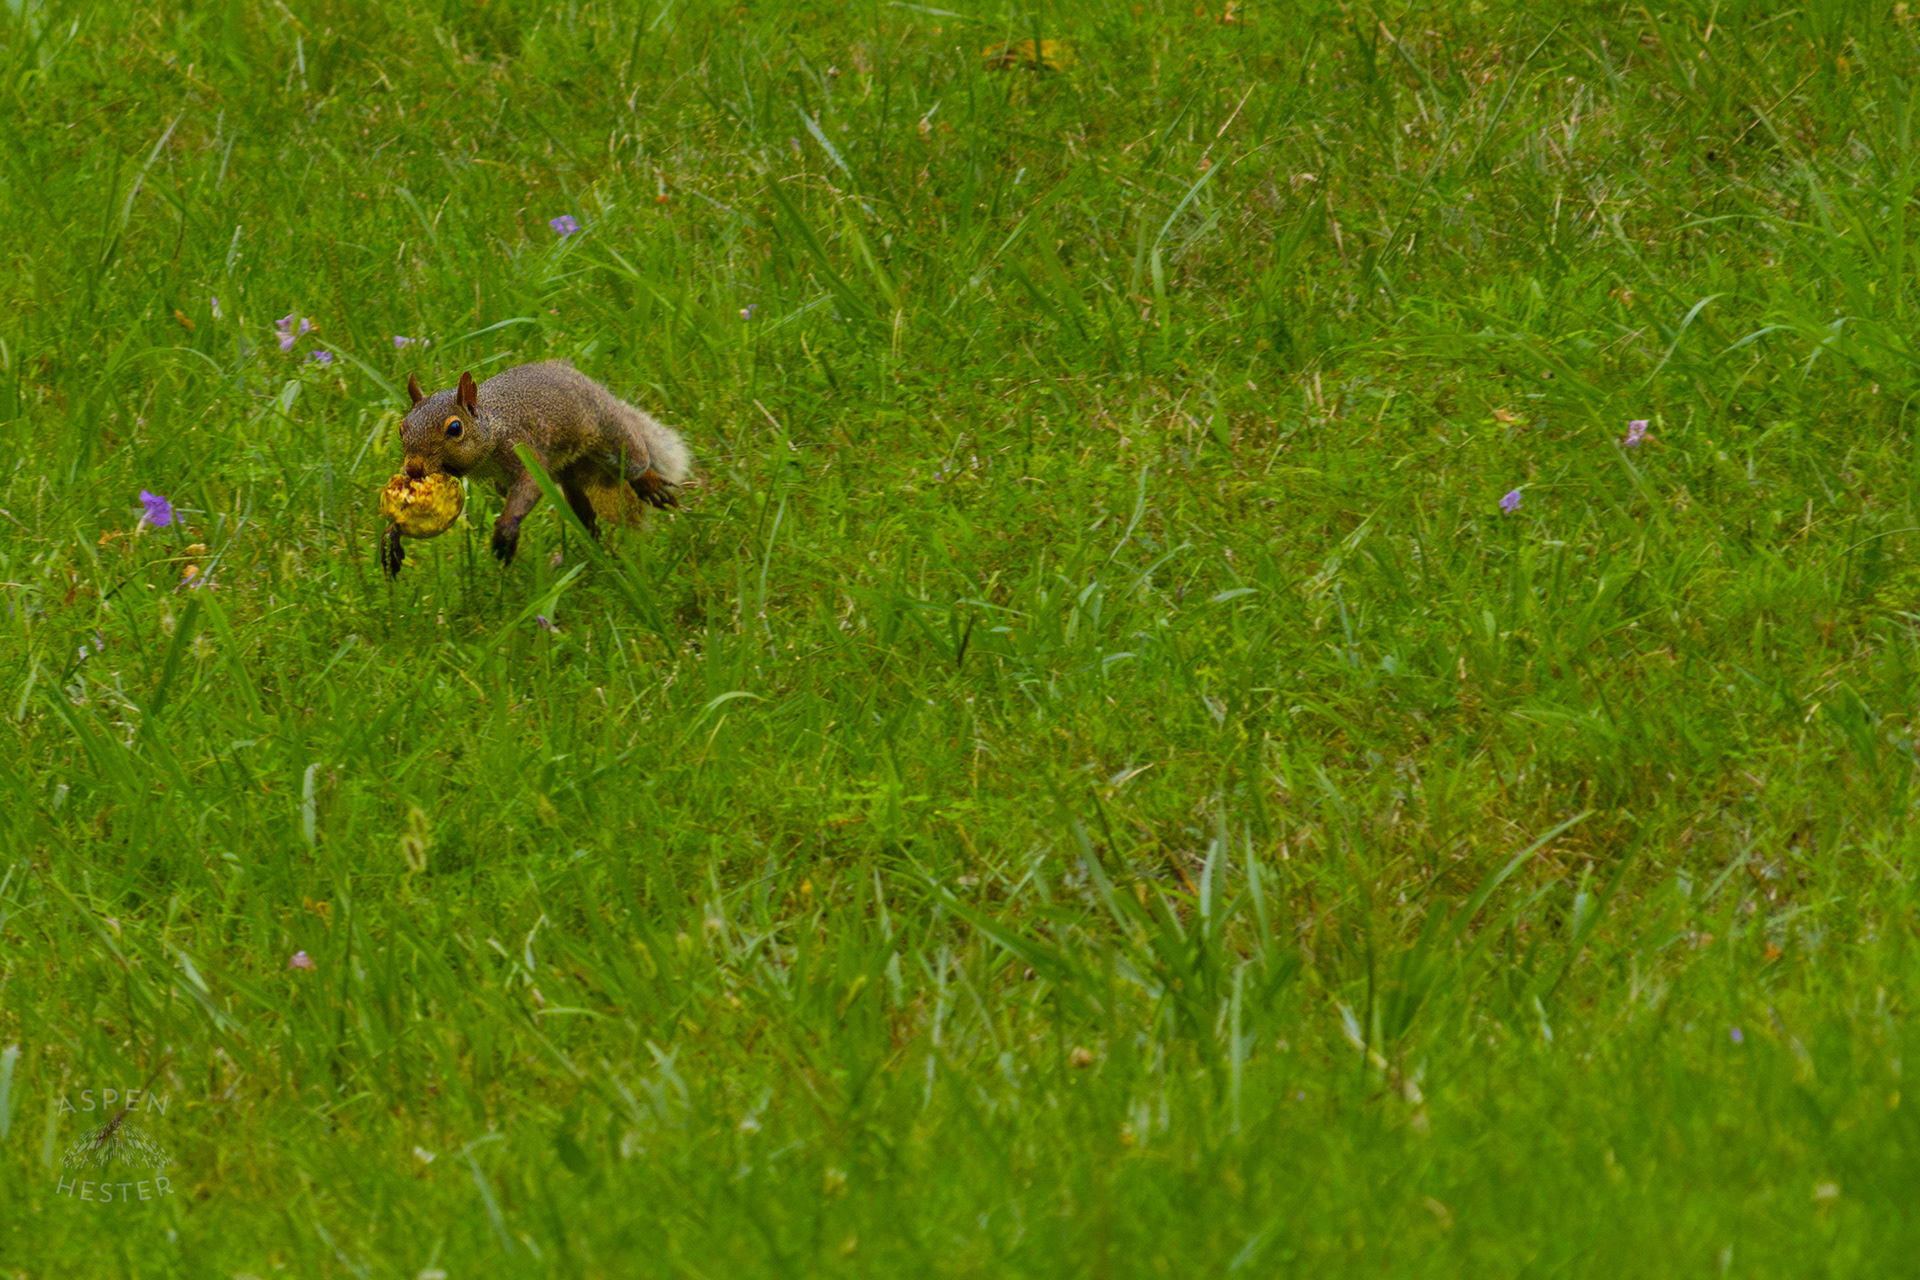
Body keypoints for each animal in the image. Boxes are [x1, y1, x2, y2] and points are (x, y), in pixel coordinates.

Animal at [383, 360, 691, 576]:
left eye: (455, 428)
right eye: (402, 428)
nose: (413, 469)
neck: (492, 423)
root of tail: (594, 387)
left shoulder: (520, 446)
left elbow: (530, 482)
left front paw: (506, 530)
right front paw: (391, 536)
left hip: (610, 435)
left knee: (635, 459)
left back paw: (649, 484)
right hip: (571, 475)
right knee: (583, 510)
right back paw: (594, 547)